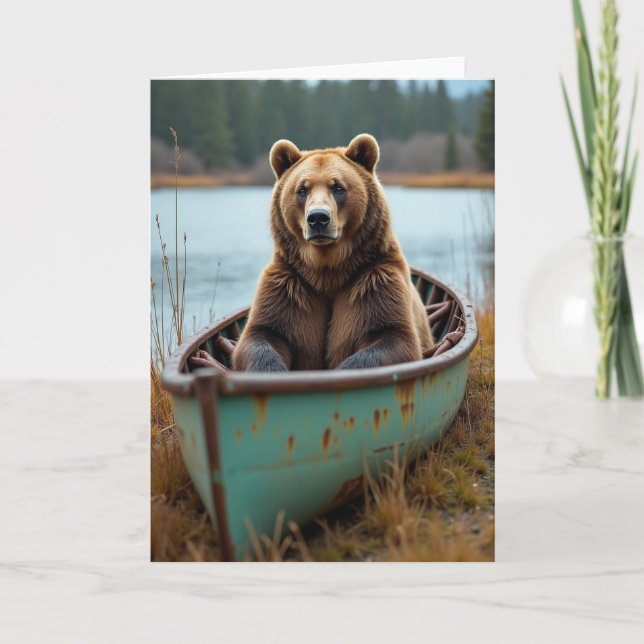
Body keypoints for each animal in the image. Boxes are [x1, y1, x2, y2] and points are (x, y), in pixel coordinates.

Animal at [231, 133, 434, 372]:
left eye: (338, 187)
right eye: (302, 189)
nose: (318, 217)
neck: (327, 269)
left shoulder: (373, 278)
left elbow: (392, 335)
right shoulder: (290, 283)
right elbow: (263, 334)